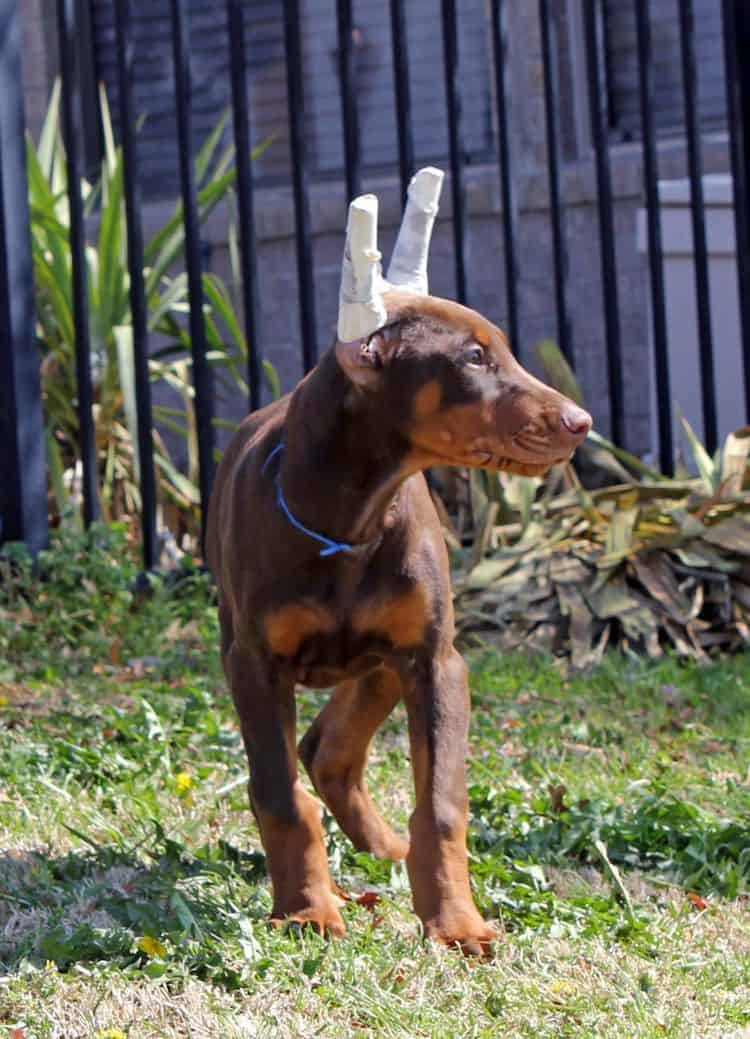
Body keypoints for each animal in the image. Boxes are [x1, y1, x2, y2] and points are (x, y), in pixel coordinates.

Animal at [204, 172, 590, 955]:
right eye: (473, 358)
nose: (580, 422)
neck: (350, 523)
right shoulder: (253, 663)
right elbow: (278, 794)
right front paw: (306, 910)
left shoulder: (435, 661)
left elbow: (440, 804)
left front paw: (455, 921)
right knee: (315, 755)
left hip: (389, 658)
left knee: (330, 748)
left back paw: (385, 848)